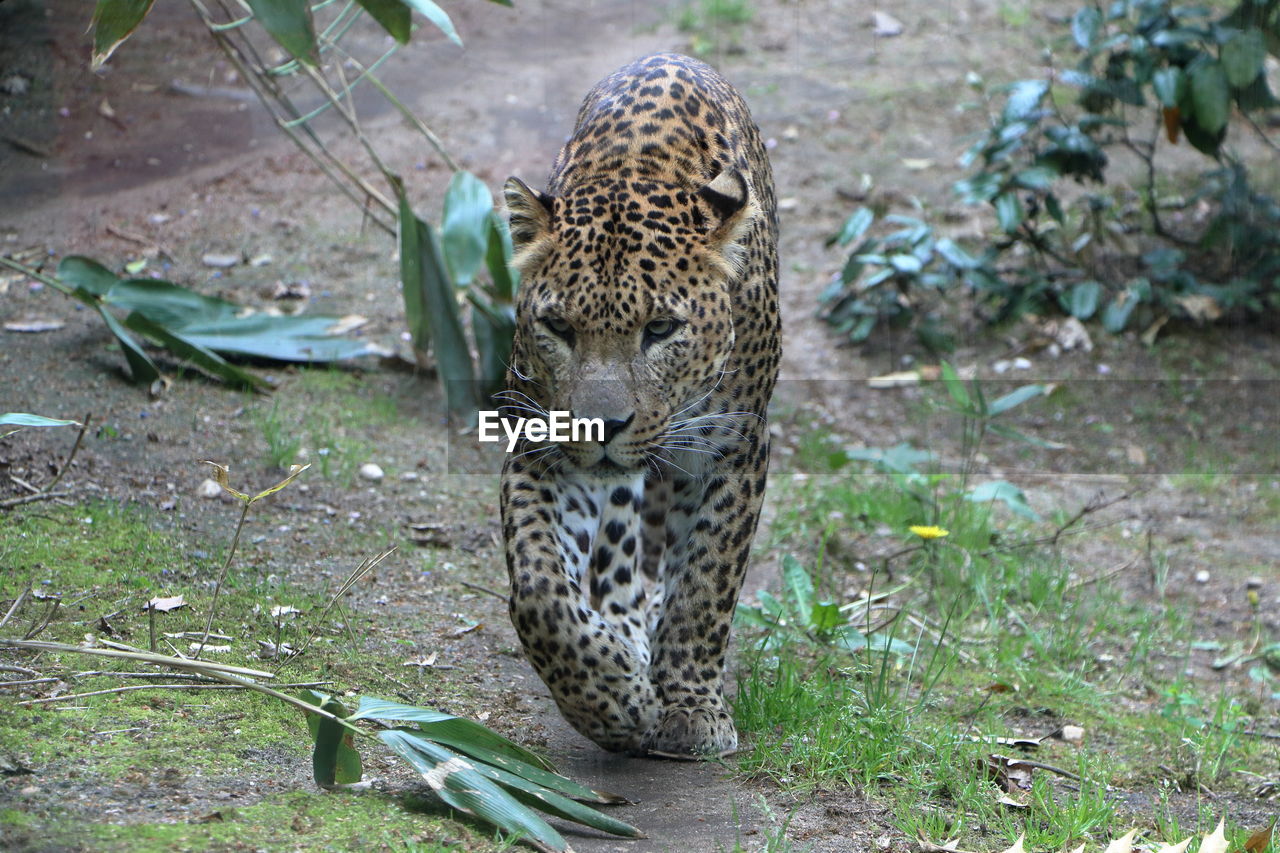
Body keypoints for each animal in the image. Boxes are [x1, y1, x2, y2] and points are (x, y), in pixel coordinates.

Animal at [499, 51, 778, 758]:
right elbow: (539, 586)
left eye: (661, 329)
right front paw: (610, 699)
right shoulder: (538, 443)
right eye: (558, 327)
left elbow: (705, 584)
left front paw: (689, 707)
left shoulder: (736, 449)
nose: (600, 425)